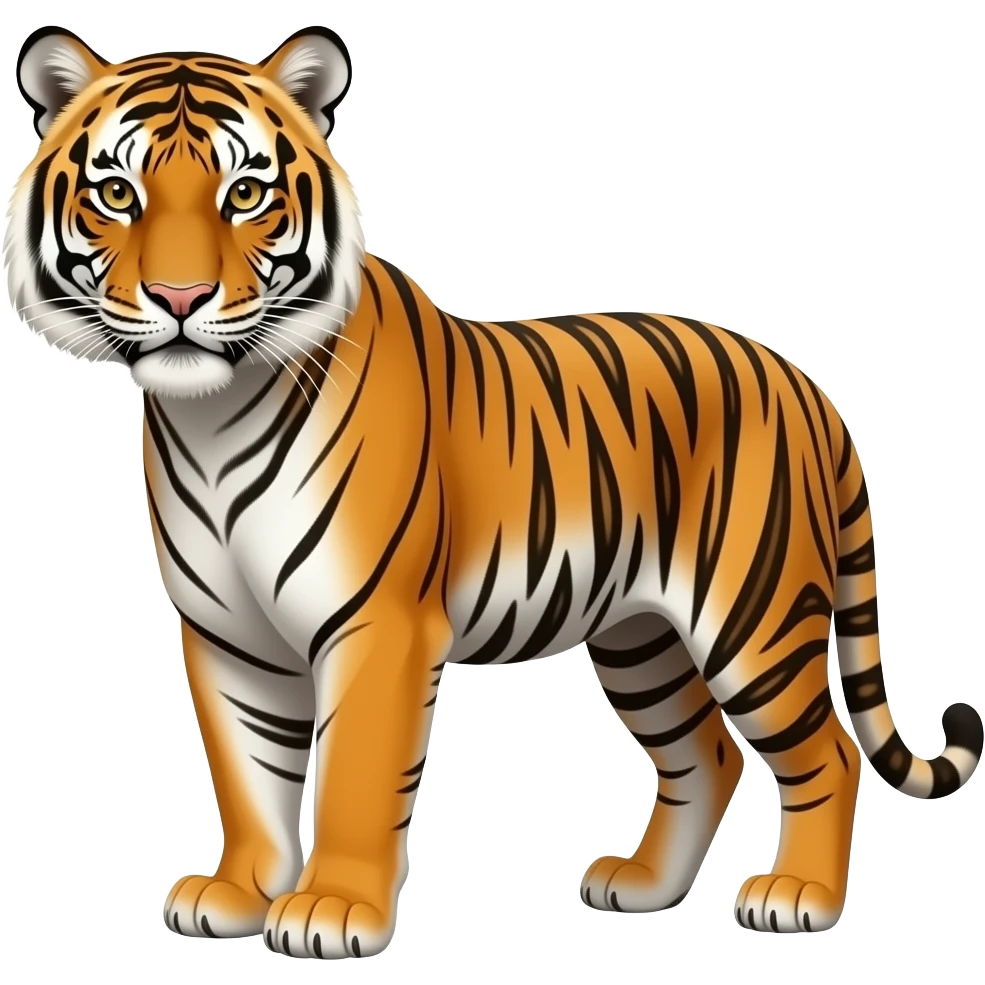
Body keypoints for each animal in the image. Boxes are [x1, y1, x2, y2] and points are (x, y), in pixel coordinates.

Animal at [4, 22, 982, 960]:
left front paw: (332, 909)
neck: (210, 417)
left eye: (244, 194)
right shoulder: (227, 634)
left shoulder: (378, 623)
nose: (179, 297)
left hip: (754, 615)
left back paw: (798, 897)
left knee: (827, 753)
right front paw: (239, 892)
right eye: (117, 194)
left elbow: (355, 772)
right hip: (641, 637)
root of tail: (804, 382)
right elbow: (248, 774)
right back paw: (642, 887)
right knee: (704, 752)